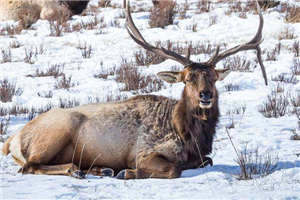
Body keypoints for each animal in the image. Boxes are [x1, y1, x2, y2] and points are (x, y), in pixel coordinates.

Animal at [1, 0, 266, 178]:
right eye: (188, 79)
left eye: (213, 77)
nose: (205, 95)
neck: (190, 136)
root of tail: (12, 139)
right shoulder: (144, 152)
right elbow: (173, 169)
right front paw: (127, 172)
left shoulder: (201, 155)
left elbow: (207, 161)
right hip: (56, 131)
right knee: (29, 166)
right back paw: (79, 170)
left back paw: (100, 169)